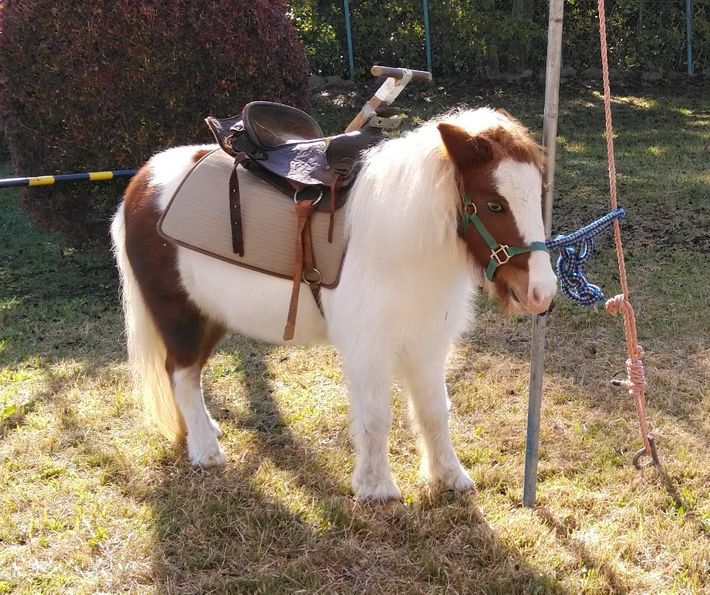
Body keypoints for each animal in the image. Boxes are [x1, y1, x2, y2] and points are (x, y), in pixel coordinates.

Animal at [110, 107, 557, 501]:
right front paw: (376, 488)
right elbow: (376, 417)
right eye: (495, 203)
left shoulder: (427, 344)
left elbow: (435, 411)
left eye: (538, 196)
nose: (541, 293)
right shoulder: (368, 350)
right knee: (181, 374)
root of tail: (142, 182)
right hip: (179, 317)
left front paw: (449, 477)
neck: (398, 242)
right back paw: (206, 451)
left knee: (190, 375)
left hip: (210, 317)